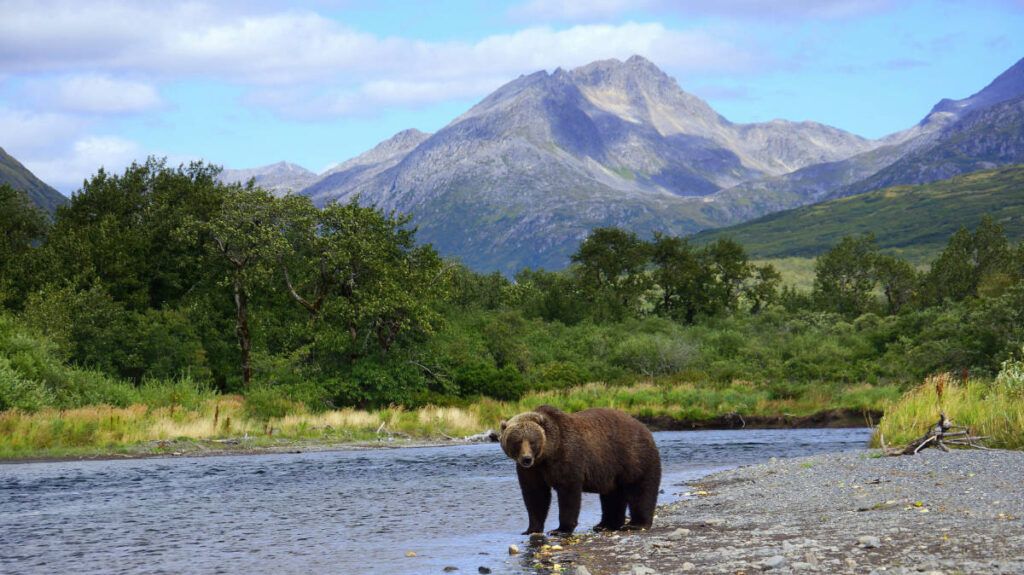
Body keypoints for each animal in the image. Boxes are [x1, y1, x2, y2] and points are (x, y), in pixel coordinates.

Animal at [500, 404, 661, 536]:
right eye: (517, 442)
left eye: (532, 441)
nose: (526, 459)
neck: (547, 454)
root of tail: (645, 428)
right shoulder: (532, 470)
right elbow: (535, 494)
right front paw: (531, 529)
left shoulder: (568, 456)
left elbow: (568, 493)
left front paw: (560, 529)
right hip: (612, 470)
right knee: (612, 495)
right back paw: (605, 525)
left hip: (633, 457)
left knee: (640, 489)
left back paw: (636, 524)